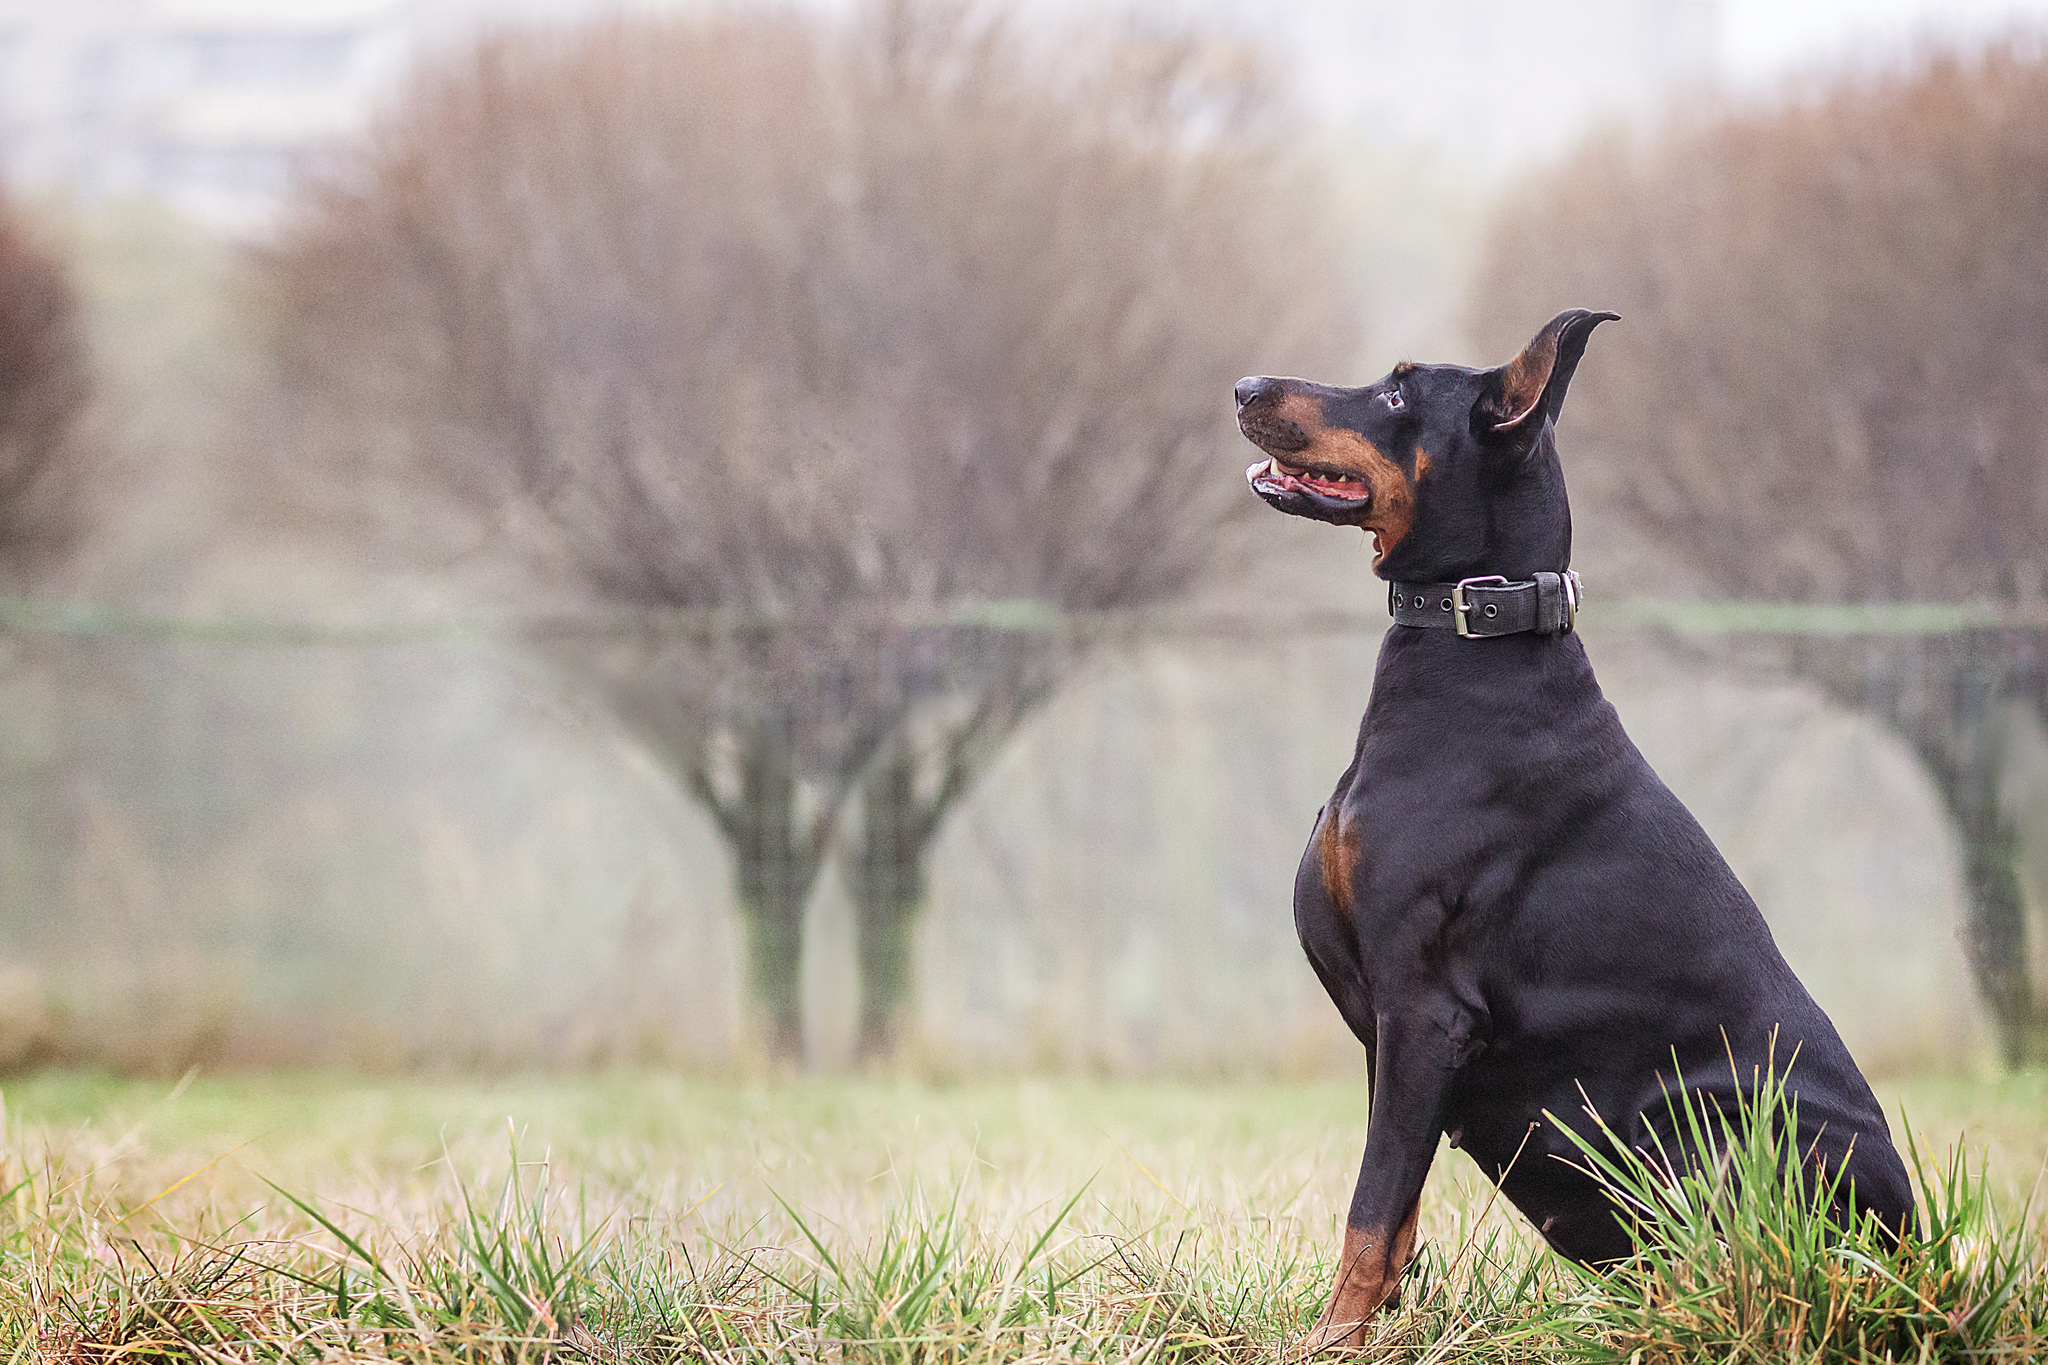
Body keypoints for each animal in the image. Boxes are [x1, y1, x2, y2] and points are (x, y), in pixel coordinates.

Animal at [1228, 315, 1916, 1350]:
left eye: (1396, 393)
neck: (1476, 646)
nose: (1243, 386)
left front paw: (1330, 1345)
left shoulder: (1423, 1009)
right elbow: (1396, 1216)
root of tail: (1919, 1252)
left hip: (1708, 1125)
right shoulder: (1390, 1038)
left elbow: (1369, 1209)